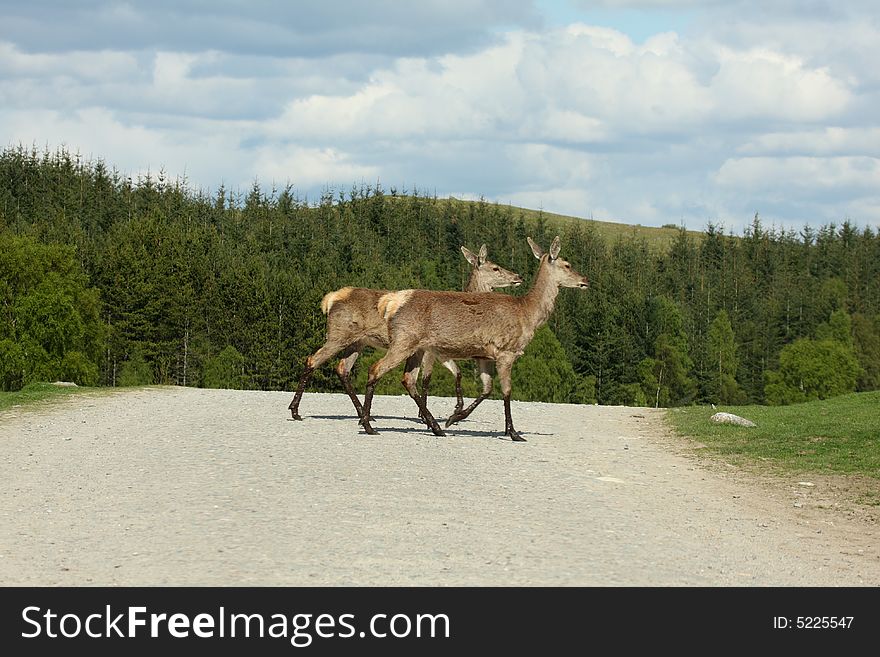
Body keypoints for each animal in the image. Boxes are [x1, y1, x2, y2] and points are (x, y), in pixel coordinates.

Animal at [288, 245, 524, 420]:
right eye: (495, 268)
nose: (518, 276)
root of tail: (329, 299)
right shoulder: (429, 351)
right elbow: (426, 379)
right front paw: (426, 414)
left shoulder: (437, 352)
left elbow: (454, 373)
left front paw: (453, 410)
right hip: (338, 334)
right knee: (313, 359)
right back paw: (296, 410)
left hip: (358, 341)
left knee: (342, 368)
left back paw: (363, 414)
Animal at [358, 236, 592, 440]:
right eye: (567, 264)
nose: (586, 280)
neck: (527, 314)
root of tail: (391, 302)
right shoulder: (506, 351)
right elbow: (507, 391)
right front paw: (513, 432)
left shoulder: (483, 356)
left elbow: (487, 390)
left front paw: (454, 417)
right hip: (404, 340)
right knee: (376, 369)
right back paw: (368, 424)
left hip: (417, 347)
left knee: (408, 379)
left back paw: (435, 427)